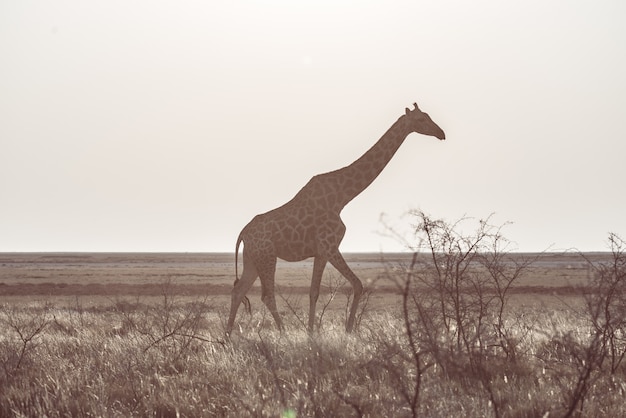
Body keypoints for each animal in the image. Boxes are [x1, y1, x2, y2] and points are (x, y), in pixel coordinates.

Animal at [227, 103, 446, 334]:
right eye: (421, 119)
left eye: (428, 116)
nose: (441, 133)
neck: (342, 197)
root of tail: (242, 233)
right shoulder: (330, 246)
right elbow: (358, 284)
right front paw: (348, 331)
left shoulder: (321, 252)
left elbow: (314, 292)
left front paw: (312, 333)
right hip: (267, 256)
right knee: (266, 296)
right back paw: (283, 334)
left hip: (252, 259)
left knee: (238, 291)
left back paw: (228, 335)